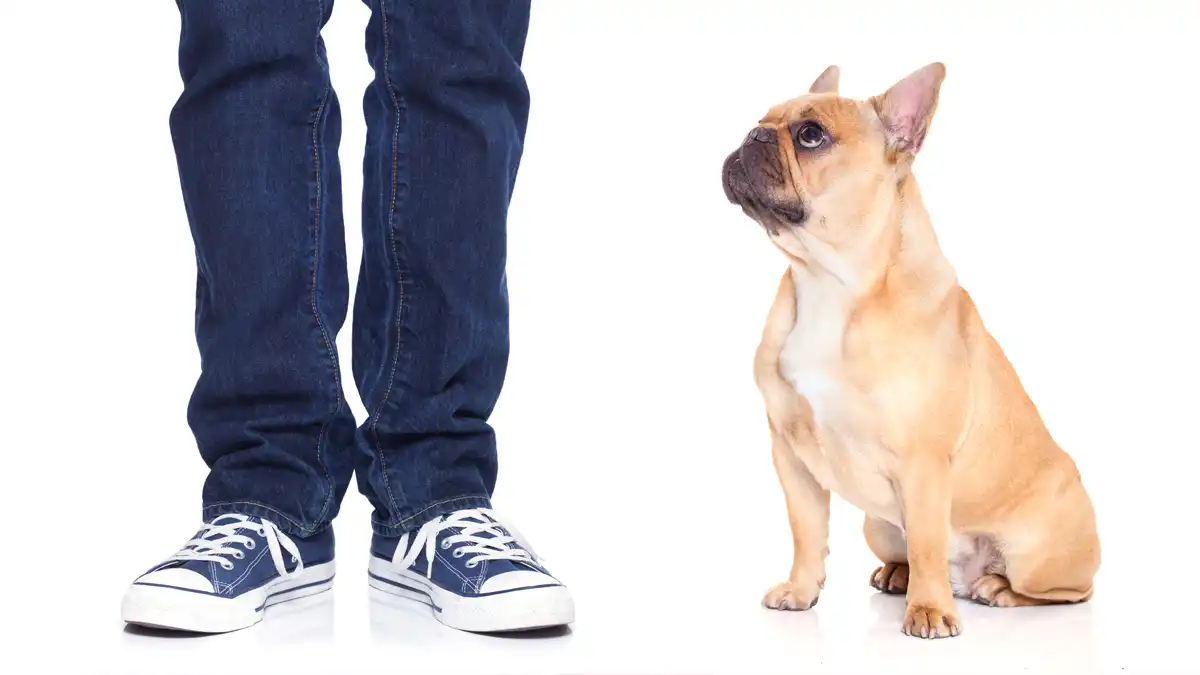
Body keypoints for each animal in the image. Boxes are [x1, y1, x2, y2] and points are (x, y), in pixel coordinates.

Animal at [715, 63, 1099, 634]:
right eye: (762, 118)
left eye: (811, 135)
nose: (753, 135)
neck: (832, 283)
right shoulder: (791, 454)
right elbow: (806, 531)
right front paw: (801, 591)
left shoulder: (923, 463)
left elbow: (927, 539)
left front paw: (930, 611)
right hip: (876, 526)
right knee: (904, 552)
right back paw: (898, 576)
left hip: (1040, 557)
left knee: (1066, 592)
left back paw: (994, 589)